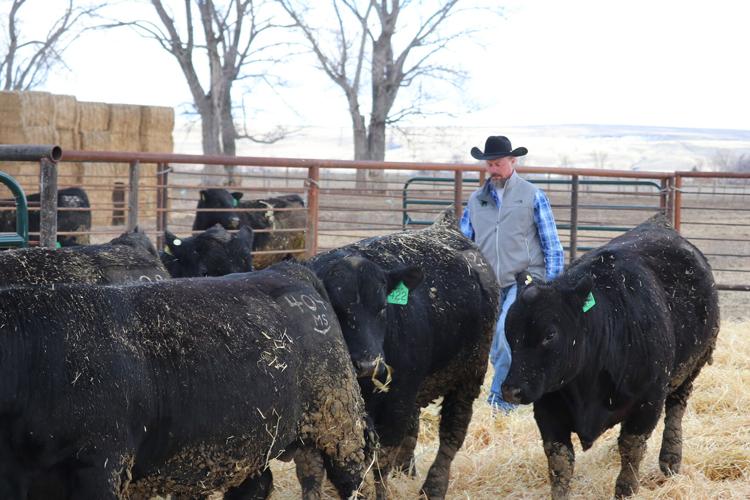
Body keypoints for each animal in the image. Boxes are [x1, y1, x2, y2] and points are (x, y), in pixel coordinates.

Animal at [307, 210, 500, 499]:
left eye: (382, 307)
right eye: (336, 309)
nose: (368, 364)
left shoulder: (398, 399)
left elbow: (381, 462)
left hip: (469, 375)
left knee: (452, 433)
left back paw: (433, 487)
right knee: (414, 429)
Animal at [501, 216, 720, 499]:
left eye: (550, 335)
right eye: (509, 331)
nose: (511, 390)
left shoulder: (648, 400)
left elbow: (631, 448)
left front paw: (626, 488)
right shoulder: (548, 405)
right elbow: (560, 461)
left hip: (691, 369)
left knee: (676, 409)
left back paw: (671, 459)